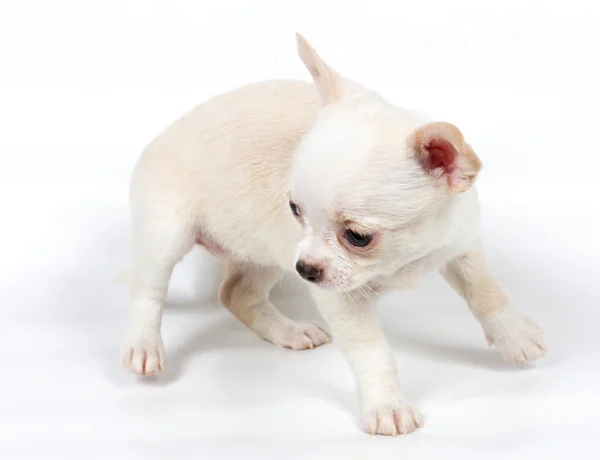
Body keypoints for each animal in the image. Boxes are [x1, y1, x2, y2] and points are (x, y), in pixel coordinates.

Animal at [119, 35, 548, 434]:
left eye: (357, 236)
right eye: (295, 210)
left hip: (265, 252)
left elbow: (485, 290)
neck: (406, 257)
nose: (305, 270)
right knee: (147, 290)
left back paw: (287, 330)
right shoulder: (343, 301)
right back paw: (143, 344)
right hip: (168, 231)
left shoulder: (459, 245)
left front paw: (514, 334)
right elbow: (374, 352)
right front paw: (387, 405)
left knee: (235, 293)